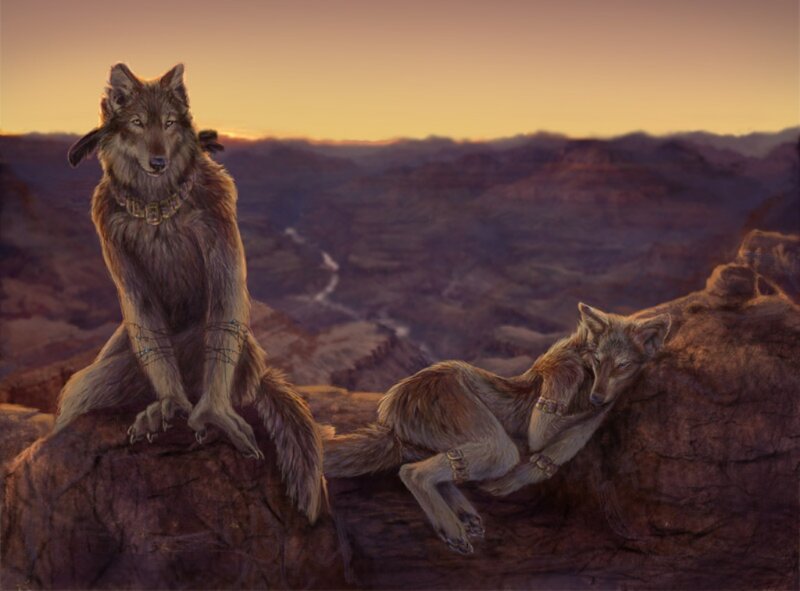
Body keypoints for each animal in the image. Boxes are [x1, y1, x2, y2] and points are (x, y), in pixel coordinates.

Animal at [58, 63, 325, 521]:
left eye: (168, 123)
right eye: (137, 123)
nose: (158, 160)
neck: (156, 208)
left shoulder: (219, 213)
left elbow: (224, 307)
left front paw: (211, 414)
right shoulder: (109, 231)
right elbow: (146, 321)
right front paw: (167, 406)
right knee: (85, 389)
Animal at [324, 303, 670, 552]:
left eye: (622, 365)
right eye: (598, 360)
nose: (598, 398)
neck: (584, 368)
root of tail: (389, 415)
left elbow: (545, 460)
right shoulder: (559, 384)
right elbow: (542, 434)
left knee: (428, 467)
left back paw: (464, 515)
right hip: (492, 444)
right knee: (414, 472)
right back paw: (452, 529)